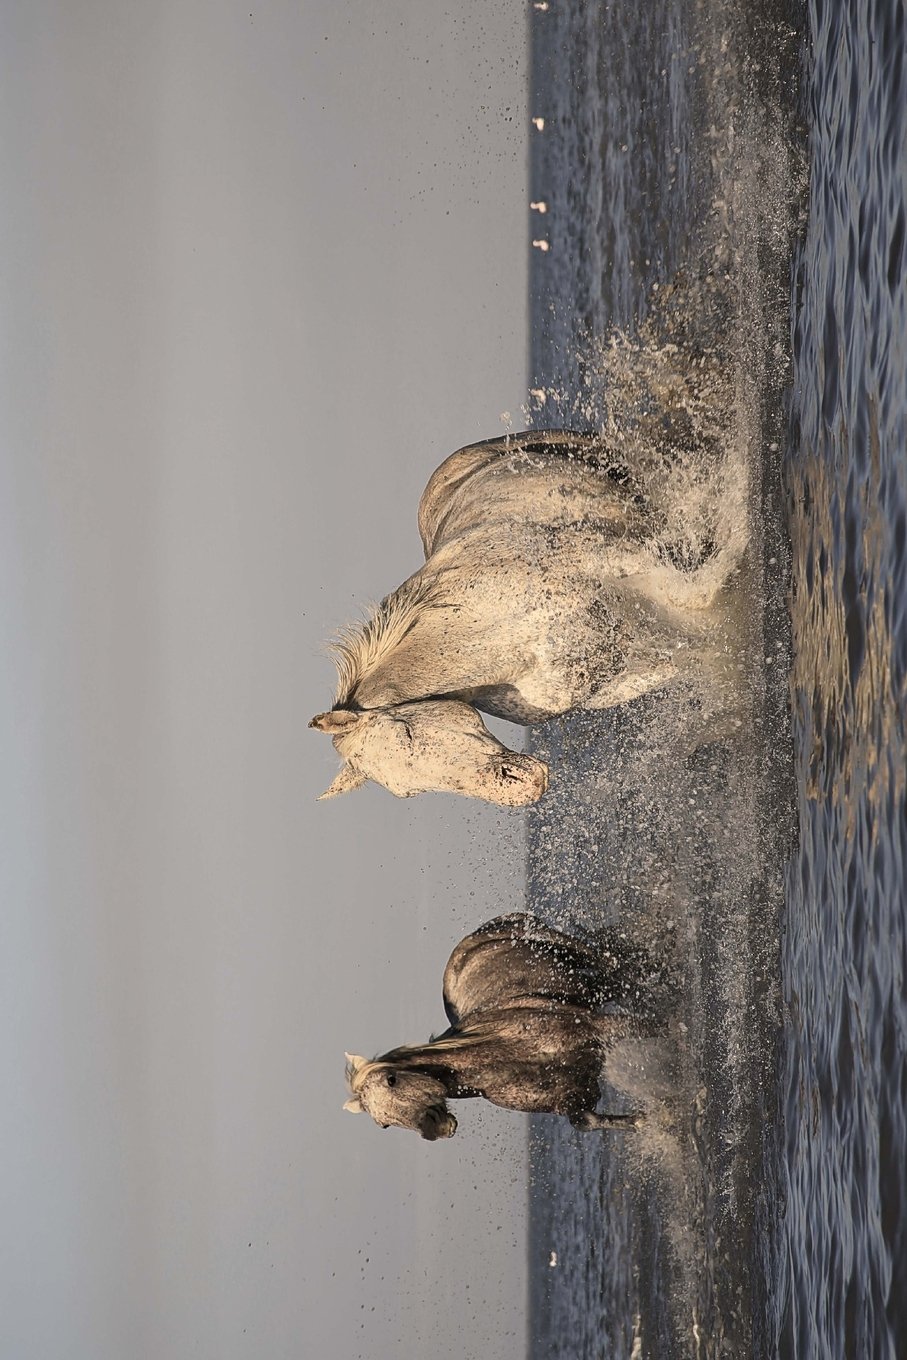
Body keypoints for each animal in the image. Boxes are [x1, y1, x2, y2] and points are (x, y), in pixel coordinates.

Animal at [311, 429, 742, 805]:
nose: (519, 787)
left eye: (406, 732)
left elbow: (703, 593)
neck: (500, 633)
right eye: (409, 791)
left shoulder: (623, 560)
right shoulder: (624, 671)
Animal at [342, 912, 661, 1139]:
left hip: (565, 947)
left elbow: (657, 1028)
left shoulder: (603, 1027)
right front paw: (650, 1121)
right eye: (383, 1124)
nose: (436, 1129)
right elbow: (590, 1122)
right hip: (587, 985)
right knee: (617, 978)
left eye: (391, 1080)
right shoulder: (573, 1098)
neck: (508, 1054)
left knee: (610, 962)